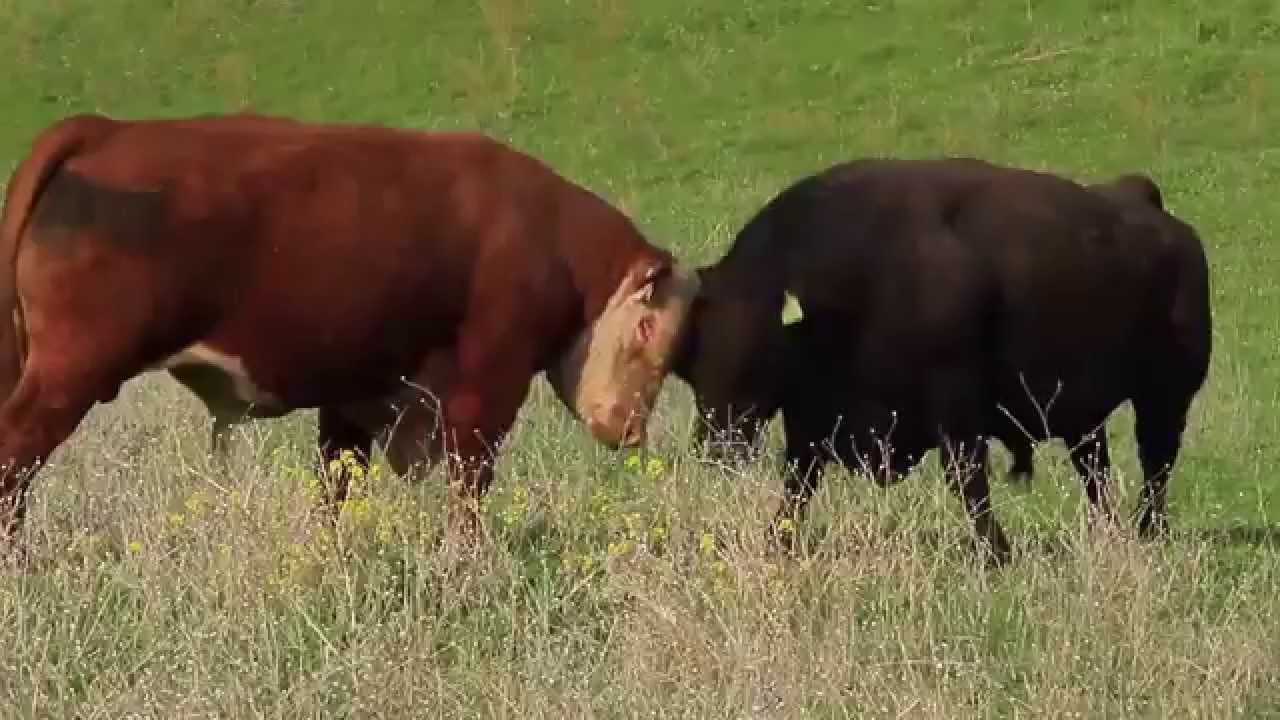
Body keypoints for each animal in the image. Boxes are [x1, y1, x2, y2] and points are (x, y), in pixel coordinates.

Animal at [0, 111, 701, 548]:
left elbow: (338, 485)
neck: (548, 235)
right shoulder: (486, 390)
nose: (629, 430)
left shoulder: (357, 395)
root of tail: (105, 129)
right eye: (646, 329)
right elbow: (468, 488)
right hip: (67, 376)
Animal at [671, 157, 1212, 566]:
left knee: (1156, 461)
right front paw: (777, 542)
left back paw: (1149, 530)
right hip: (1085, 415)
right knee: (1095, 467)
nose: (713, 442)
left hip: (1166, 396)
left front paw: (996, 553)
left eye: (754, 343)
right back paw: (1110, 529)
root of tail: (1147, 204)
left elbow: (967, 478)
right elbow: (799, 480)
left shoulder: (956, 407)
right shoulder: (813, 414)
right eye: (694, 353)